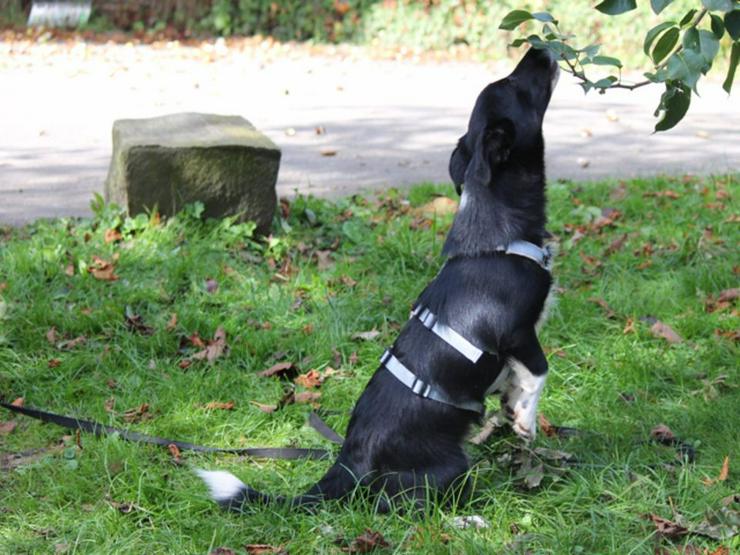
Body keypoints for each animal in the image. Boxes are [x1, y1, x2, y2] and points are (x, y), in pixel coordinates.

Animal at [199, 48, 556, 512]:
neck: (500, 229)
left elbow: (514, 383)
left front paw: (512, 412)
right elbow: (538, 373)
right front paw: (527, 421)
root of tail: (347, 464)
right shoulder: (518, 332)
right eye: (514, 84)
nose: (539, 49)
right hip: (449, 470)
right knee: (401, 504)